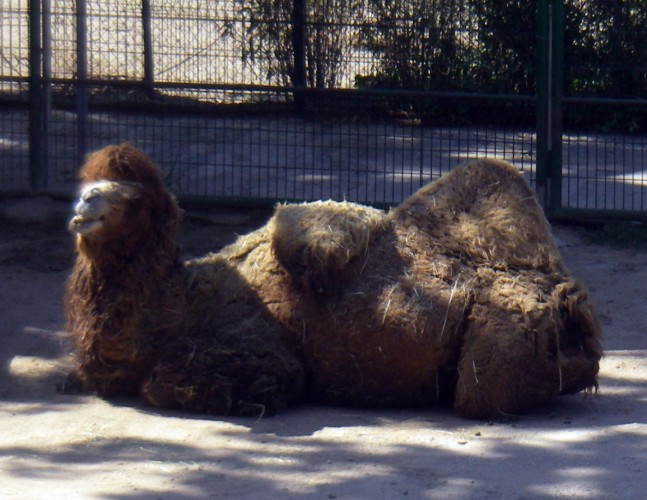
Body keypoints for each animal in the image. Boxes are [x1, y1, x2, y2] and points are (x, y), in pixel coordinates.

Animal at [63, 144, 602, 419]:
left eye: (133, 199)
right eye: (88, 185)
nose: (82, 205)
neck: (179, 301)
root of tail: (573, 302)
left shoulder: (263, 353)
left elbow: (162, 385)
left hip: (503, 340)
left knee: (483, 394)